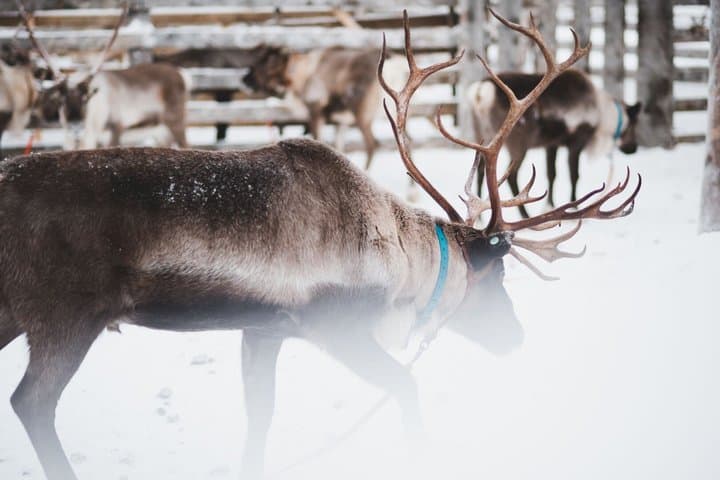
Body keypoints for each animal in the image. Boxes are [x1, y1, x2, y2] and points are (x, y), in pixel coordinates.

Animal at [16, 3, 189, 150]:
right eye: (61, 100)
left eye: (86, 99)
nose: (76, 127)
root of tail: (182, 75)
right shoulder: (71, 141)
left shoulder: (116, 127)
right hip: (161, 133)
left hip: (175, 121)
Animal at [467, 68, 642, 217]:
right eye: (634, 124)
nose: (633, 148)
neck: (602, 115)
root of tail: (480, 93)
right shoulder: (576, 141)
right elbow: (574, 175)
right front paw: (575, 206)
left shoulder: (552, 144)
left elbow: (552, 174)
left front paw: (550, 205)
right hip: (518, 143)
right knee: (512, 175)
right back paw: (525, 214)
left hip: (483, 138)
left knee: (481, 171)